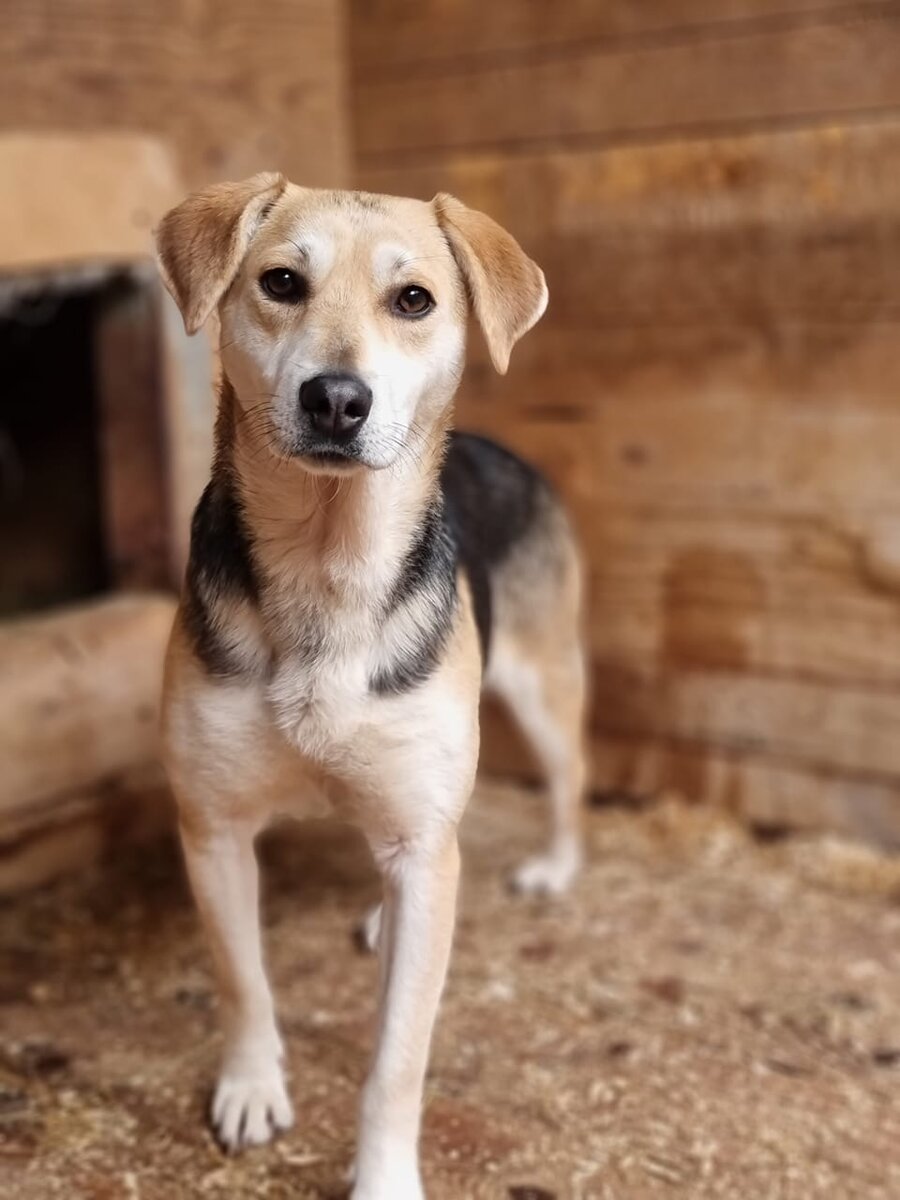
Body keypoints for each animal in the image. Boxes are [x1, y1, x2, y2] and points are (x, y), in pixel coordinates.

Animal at [158, 175, 588, 1200]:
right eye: (281, 281)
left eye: (414, 300)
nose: (337, 399)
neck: (328, 565)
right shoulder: (213, 829)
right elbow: (242, 981)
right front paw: (251, 1087)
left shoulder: (421, 837)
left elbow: (398, 1059)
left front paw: (384, 1176)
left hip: (540, 689)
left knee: (568, 778)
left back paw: (554, 865)